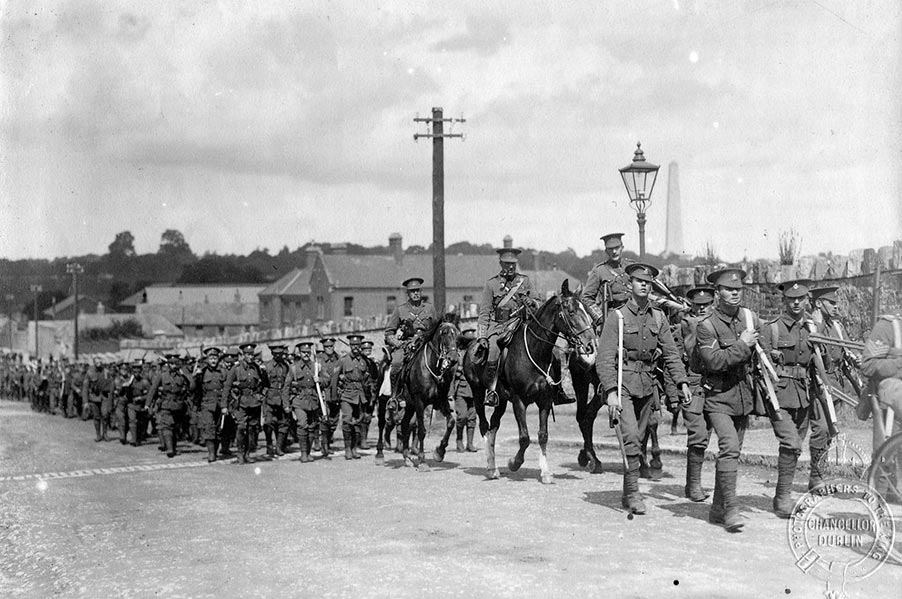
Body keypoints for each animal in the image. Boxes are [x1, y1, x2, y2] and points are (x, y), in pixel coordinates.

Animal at [466, 280, 600, 482]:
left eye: (585, 309)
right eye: (571, 311)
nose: (591, 345)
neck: (534, 351)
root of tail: (470, 345)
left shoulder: (544, 401)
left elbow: (543, 435)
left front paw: (545, 472)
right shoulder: (519, 401)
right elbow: (524, 438)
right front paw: (514, 463)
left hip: (501, 401)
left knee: (494, 426)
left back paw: (494, 467)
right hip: (478, 392)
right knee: (484, 426)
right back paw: (490, 467)